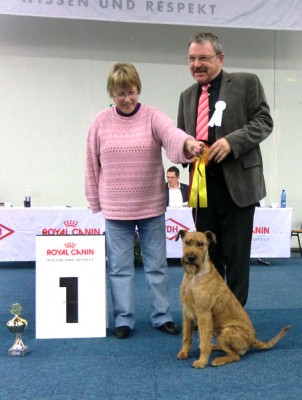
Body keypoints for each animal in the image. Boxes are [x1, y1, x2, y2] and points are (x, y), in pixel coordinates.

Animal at [176, 230, 292, 368]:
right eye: (187, 242)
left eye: (201, 244)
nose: (191, 258)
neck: (194, 277)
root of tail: (253, 339)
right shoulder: (186, 312)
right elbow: (187, 337)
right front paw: (184, 352)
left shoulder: (203, 313)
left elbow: (203, 341)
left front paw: (202, 361)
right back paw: (214, 347)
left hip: (226, 331)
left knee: (235, 355)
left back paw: (218, 360)